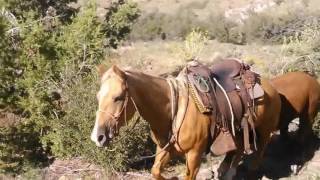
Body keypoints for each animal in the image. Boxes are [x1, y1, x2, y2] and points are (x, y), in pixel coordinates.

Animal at [89, 64, 280, 179]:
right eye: (98, 96)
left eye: (118, 97)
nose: (97, 137)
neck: (172, 110)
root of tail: (269, 84)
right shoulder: (165, 149)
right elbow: (155, 171)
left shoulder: (194, 153)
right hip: (239, 128)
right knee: (239, 148)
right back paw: (226, 171)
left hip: (264, 130)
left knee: (260, 150)